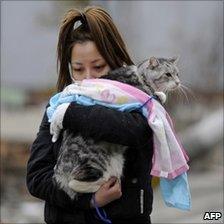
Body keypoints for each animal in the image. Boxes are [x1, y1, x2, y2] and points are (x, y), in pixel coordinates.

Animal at [52, 55, 180, 199]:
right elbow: (154, 95)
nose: (178, 82)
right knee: (75, 183)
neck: (141, 75)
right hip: (95, 163)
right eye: (168, 74)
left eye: (177, 74)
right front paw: (159, 95)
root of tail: (60, 171)